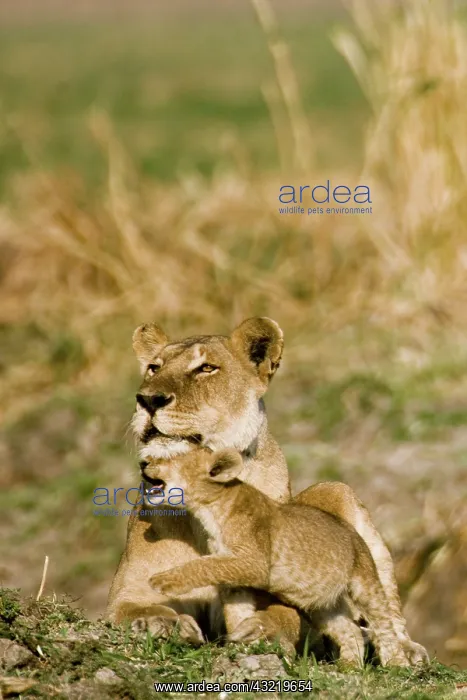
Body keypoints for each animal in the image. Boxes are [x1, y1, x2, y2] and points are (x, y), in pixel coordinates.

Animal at [106, 317, 427, 663]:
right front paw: (165, 623)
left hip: (340, 495)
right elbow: (138, 607)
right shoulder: (126, 593)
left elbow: (287, 614)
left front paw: (263, 632)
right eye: (154, 368)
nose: (148, 400)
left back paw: (407, 651)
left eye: (206, 368)